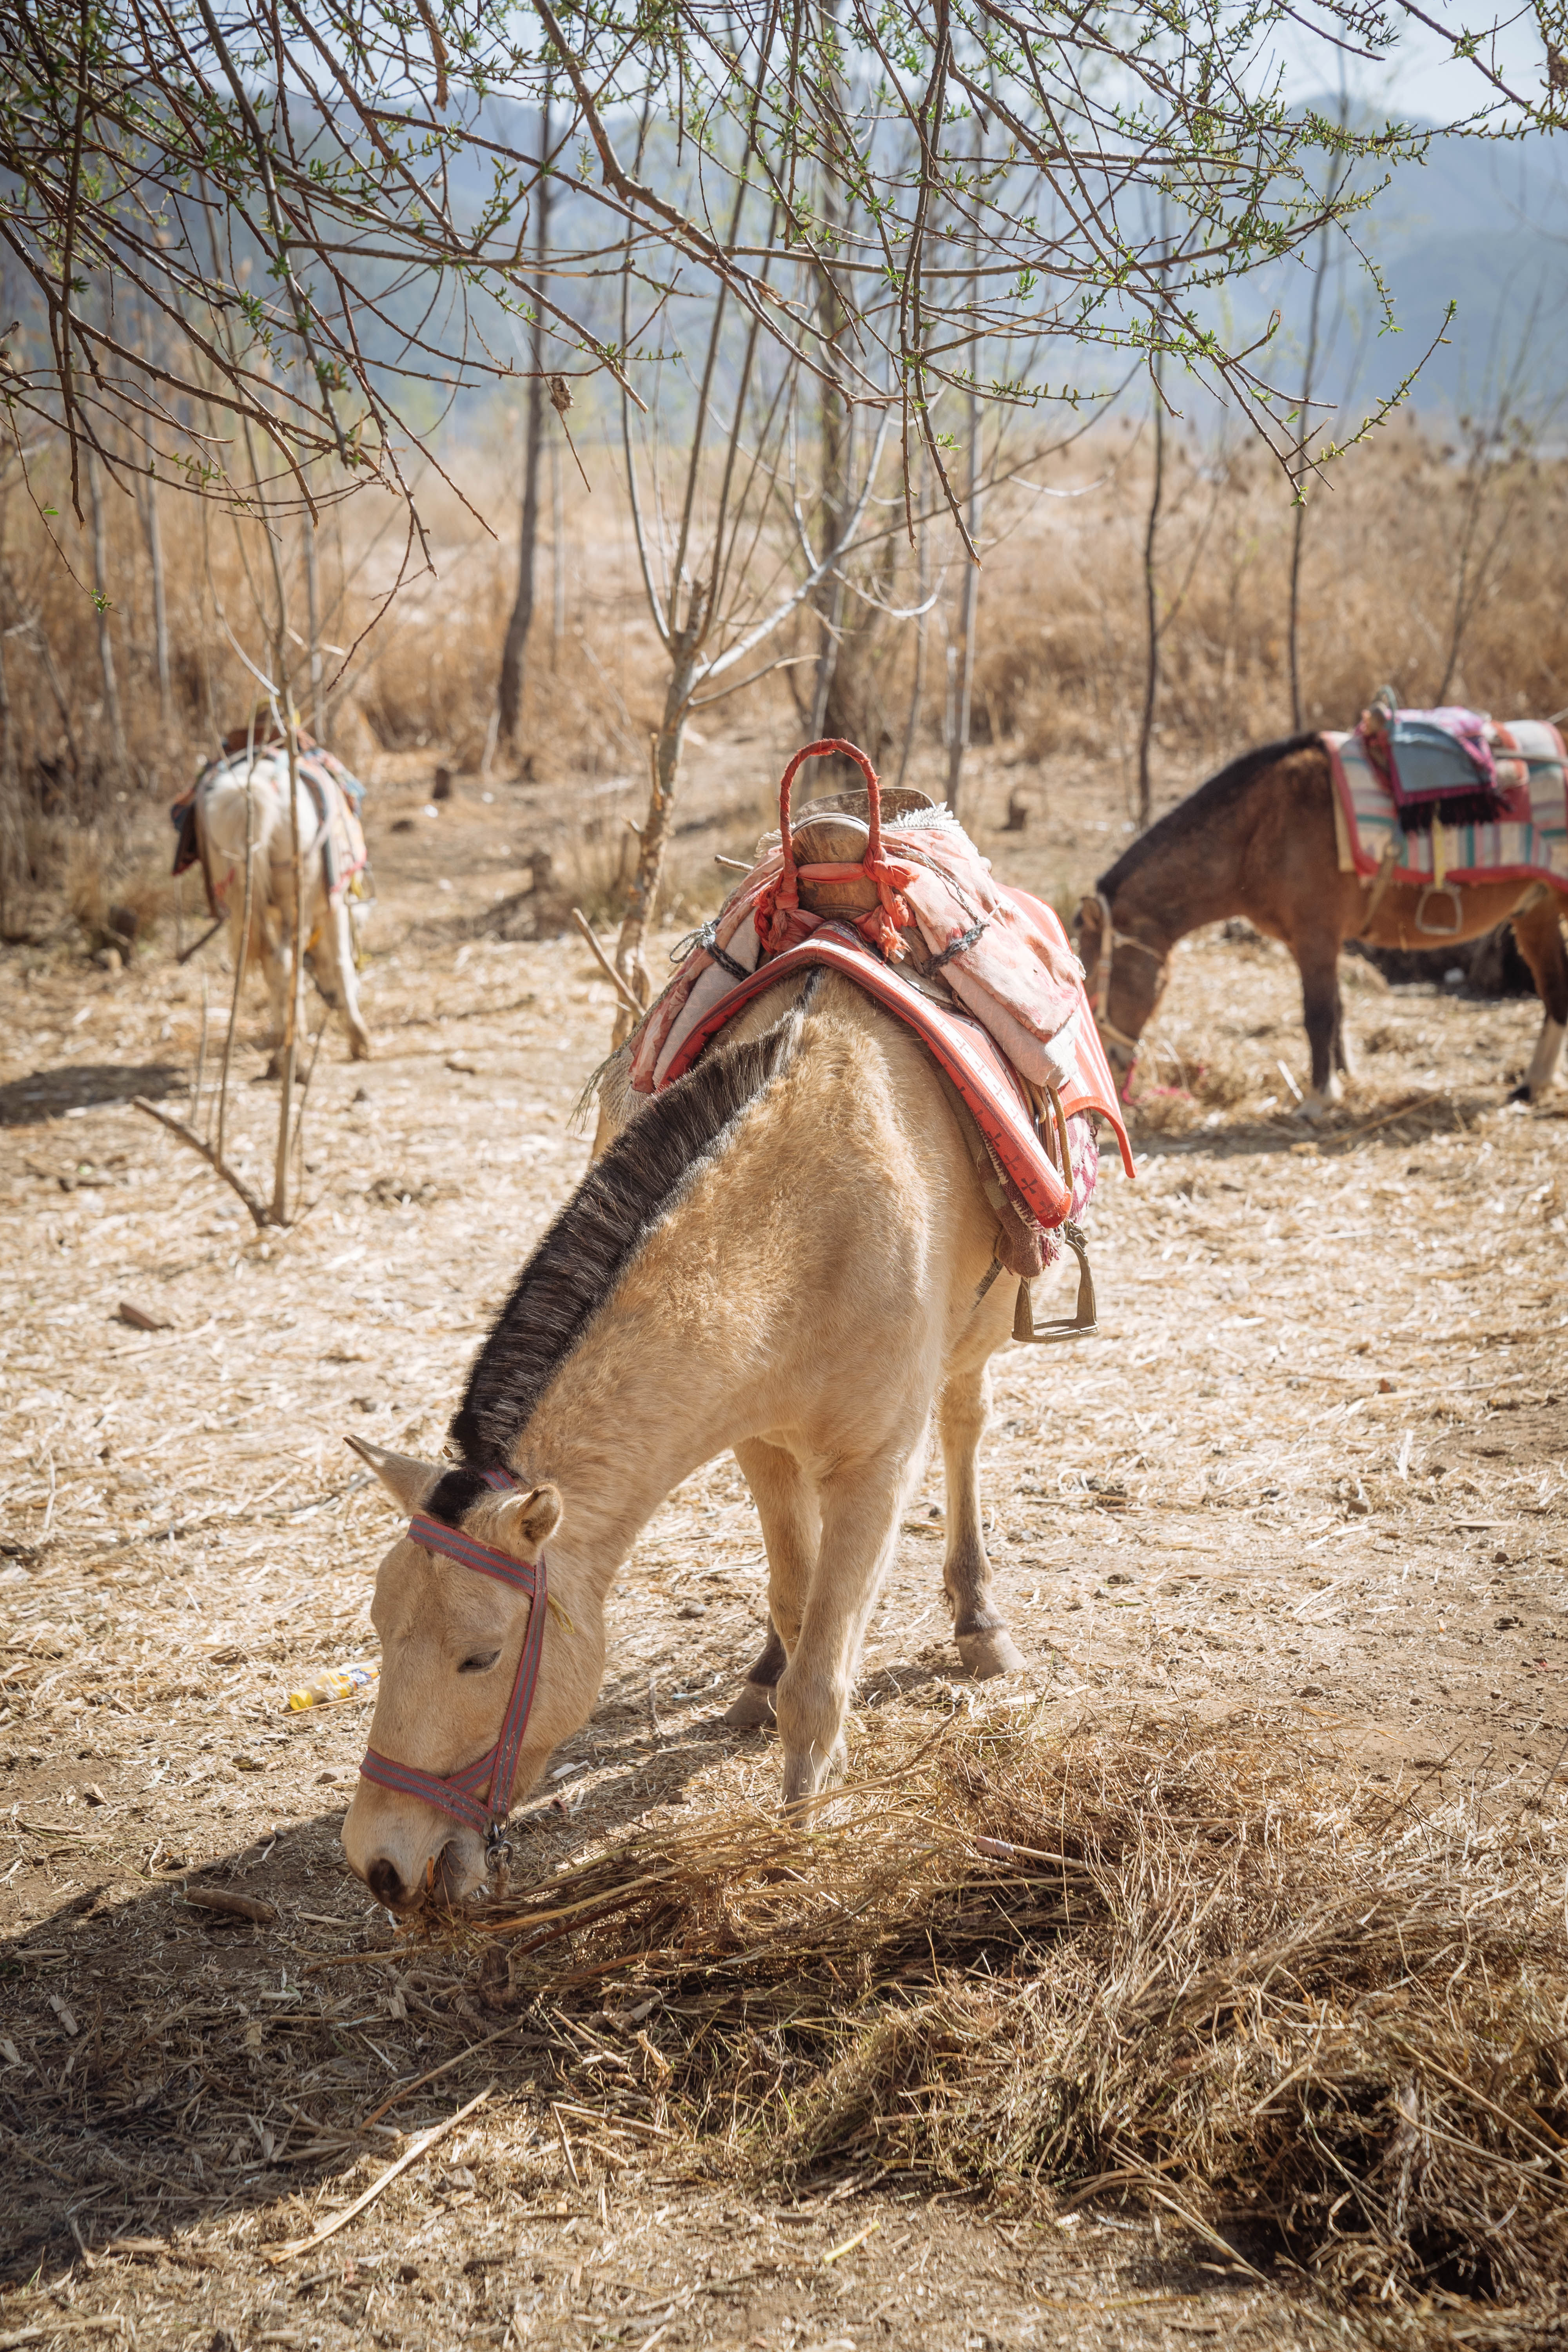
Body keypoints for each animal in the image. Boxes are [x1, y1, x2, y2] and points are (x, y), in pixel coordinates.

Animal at [190, 753, 371, 1068]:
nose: (330, 997)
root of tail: (248, 790)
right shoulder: (334, 905)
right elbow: (340, 962)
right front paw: (358, 1038)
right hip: (296, 901)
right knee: (286, 962)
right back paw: (294, 1054)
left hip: (248, 900)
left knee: (273, 963)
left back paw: (284, 1051)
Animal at [343, 974, 1029, 1910]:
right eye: (380, 1631)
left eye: (480, 1658)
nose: (378, 1863)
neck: (802, 1227)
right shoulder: (758, 1443)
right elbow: (798, 1606)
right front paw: (792, 1717)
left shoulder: (878, 1466)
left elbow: (823, 1671)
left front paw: (800, 1834)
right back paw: (760, 1677)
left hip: (983, 1327)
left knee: (966, 1418)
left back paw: (978, 1619)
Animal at [1081, 729, 1568, 1115]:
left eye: (1089, 983)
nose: (1108, 1059)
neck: (1260, 827)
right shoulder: (1318, 942)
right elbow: (1337, 1010)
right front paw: (1340, 1080)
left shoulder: (1315, 939)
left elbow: (1318, 1015)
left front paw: (1318, 1099)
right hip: (1536, 913)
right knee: (1554, 994)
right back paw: (1532, 1085)